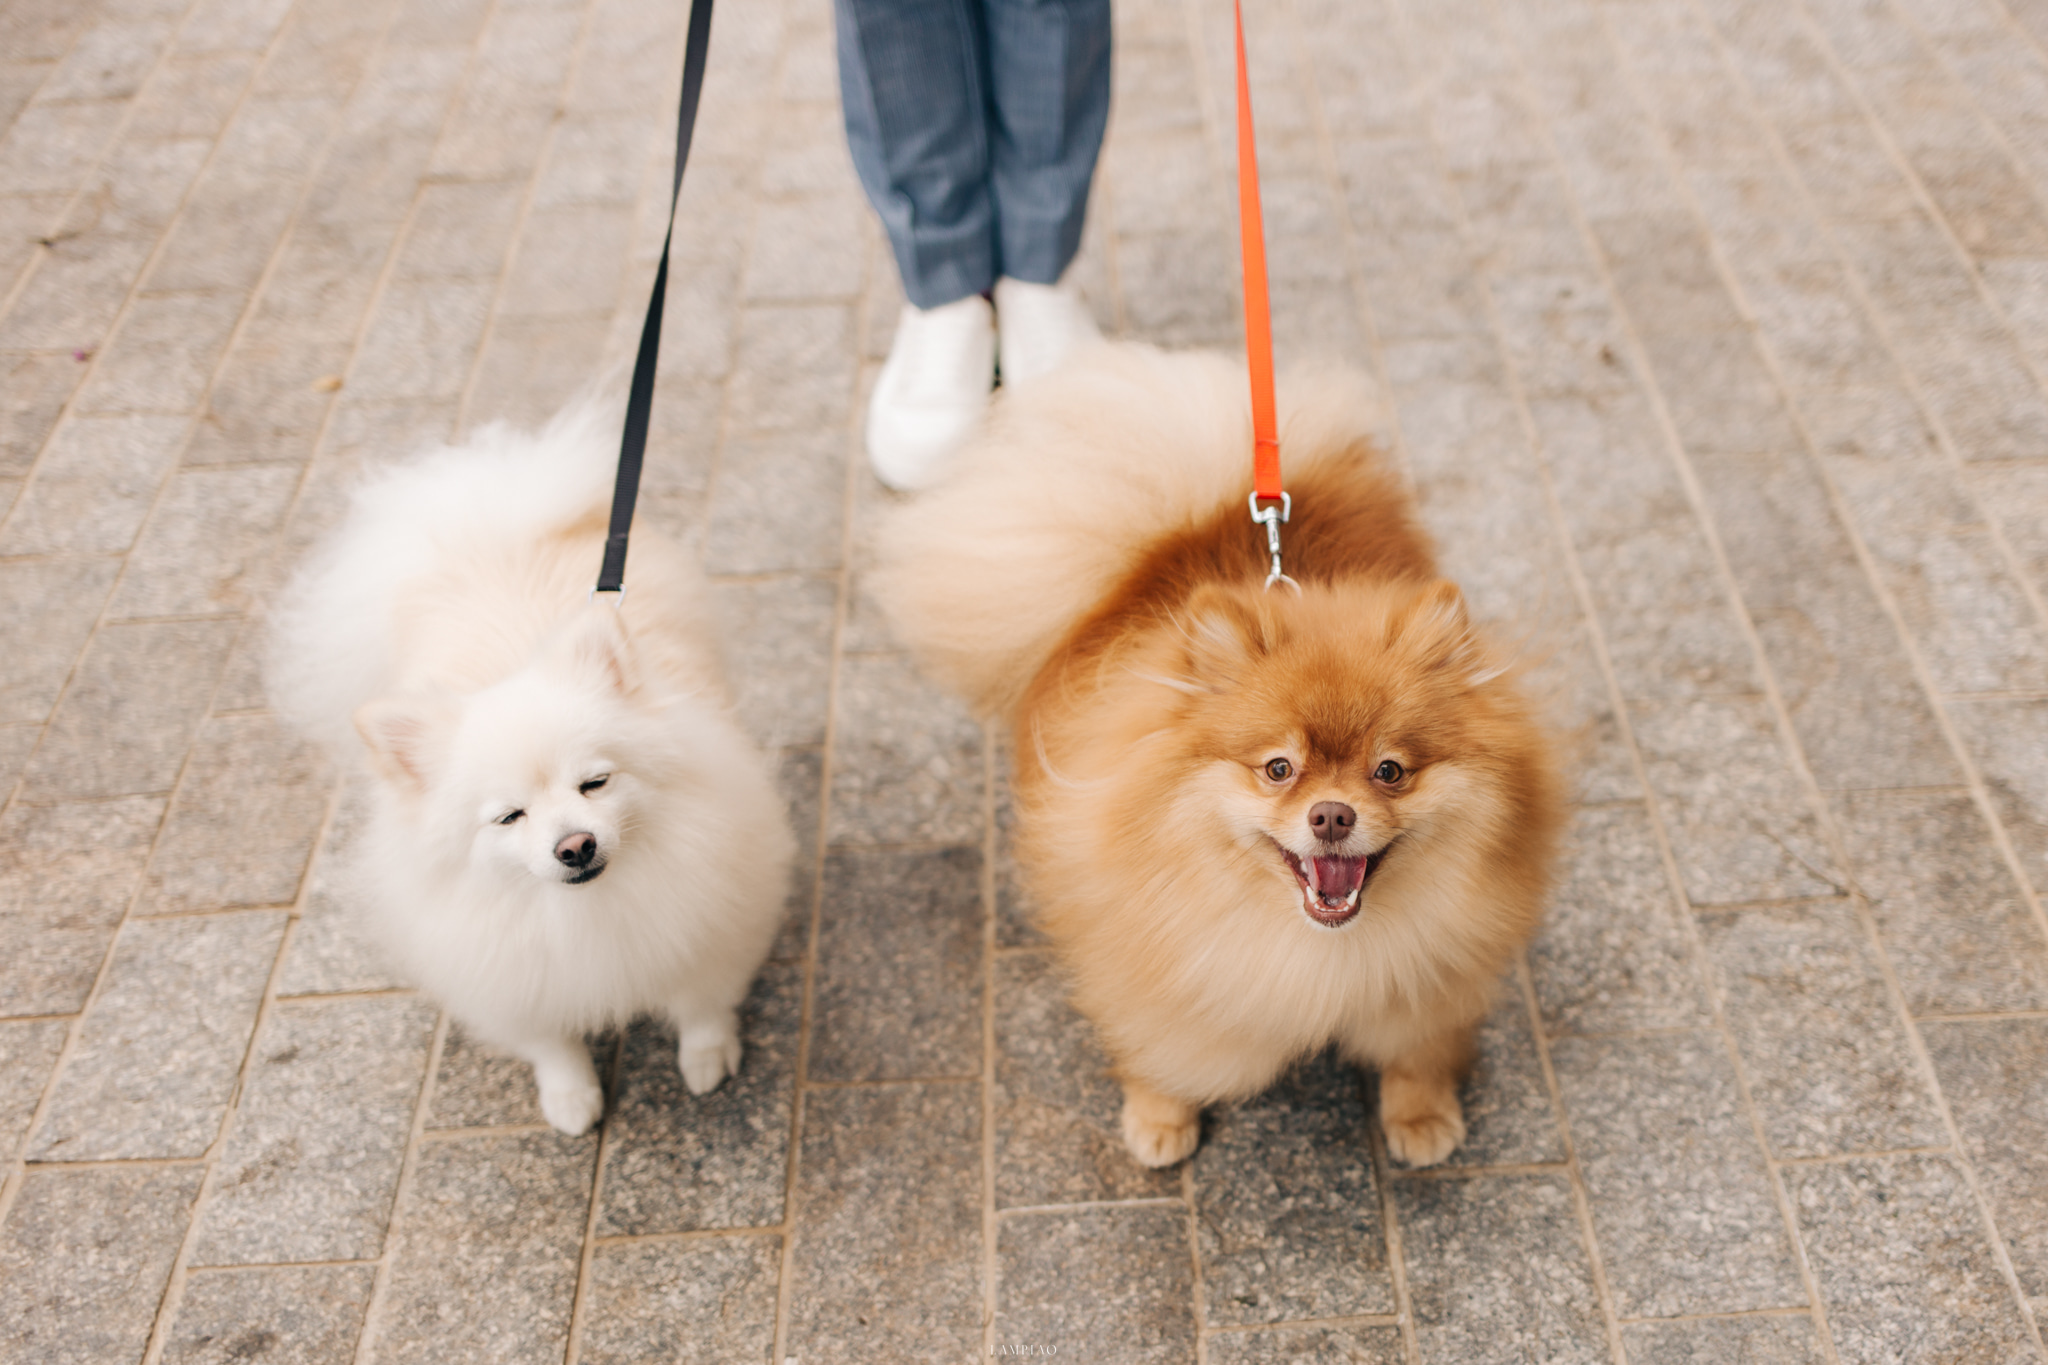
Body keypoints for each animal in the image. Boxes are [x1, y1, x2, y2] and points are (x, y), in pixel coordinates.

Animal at [266, 401, 790, 1137]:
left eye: (595, 782)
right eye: (509, 816)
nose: (576, 845)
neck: (589, 909)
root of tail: (489, 529)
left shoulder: (714, 924)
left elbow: (703, 1005)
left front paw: (707, 1059)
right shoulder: (510, 977)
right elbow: (550, 1043)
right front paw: (570, 1098)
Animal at [872, 341, 1556, 1162]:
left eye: (1389, 771)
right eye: (1278, 769)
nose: (1331, 815)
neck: (1316, 944)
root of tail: (1195, 520)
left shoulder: (1439, 966)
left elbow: (1419, 1047)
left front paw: (1422, 1116)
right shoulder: (1152, 950)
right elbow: (1161, 1040)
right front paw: (1160, 1116)